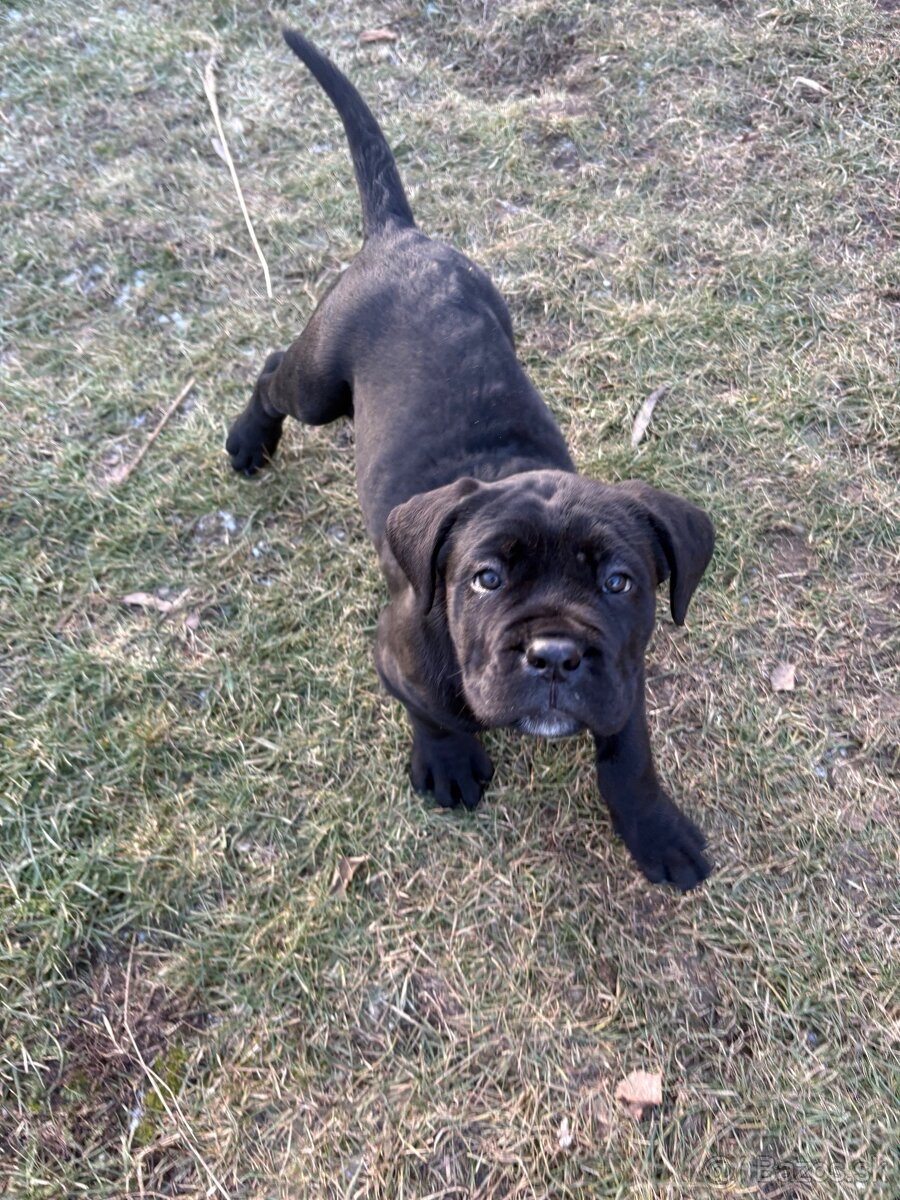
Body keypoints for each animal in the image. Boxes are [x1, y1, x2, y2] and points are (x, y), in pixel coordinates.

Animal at [226, 28, 720, 892]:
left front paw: (656, 830)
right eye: (486, 579)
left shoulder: (624, 679)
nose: (556, 655)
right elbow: (428, 710)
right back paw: (248, 440)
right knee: (274, 370)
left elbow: (630, 756)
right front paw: (449, 762)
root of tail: (400, 234)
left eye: (620, 583)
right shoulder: (397, 659)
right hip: (320, 386)